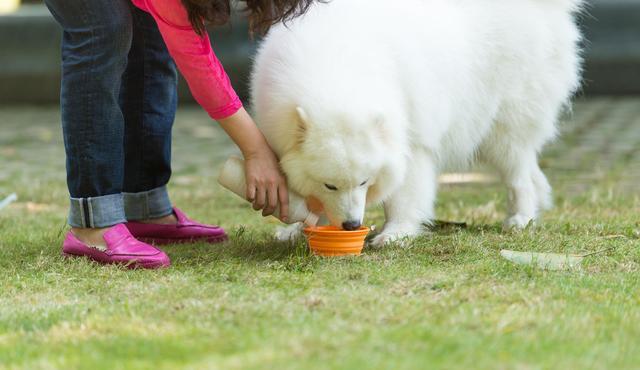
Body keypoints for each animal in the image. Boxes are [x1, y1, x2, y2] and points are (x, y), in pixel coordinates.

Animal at [251, 0, 584, 249]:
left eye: (364, 182)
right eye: (330, 185)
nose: (351, 225)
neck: (337, 70)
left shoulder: (411, 139)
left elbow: (405, 194)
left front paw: (396, 233)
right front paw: (297, 229)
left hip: (504, 124)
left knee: (518, 174)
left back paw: (520, 218)